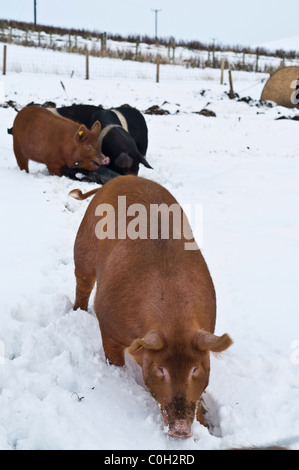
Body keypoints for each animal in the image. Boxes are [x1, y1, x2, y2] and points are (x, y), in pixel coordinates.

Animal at [71, 175, 234, 436]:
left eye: (195, 369)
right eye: (160, 369)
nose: (181, 429)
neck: (174, 319)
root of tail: (121, 177)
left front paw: (205, 426)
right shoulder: (108, 322)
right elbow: (113, 358)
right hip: (84, 243)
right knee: (83, 283)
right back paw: (77, 312)